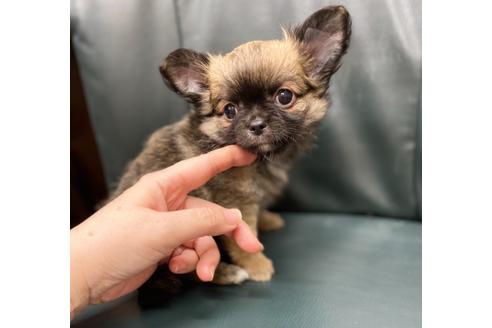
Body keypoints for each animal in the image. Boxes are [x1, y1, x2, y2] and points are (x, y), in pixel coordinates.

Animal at [111, 4, 350, 292]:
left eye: (284, 96)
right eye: (229, 111)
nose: (256, 124)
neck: (263, 159)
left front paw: (268, 219)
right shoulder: (235, 203)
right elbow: (243, 240)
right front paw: (257, 264)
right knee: (192, 273)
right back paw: (229, 273)